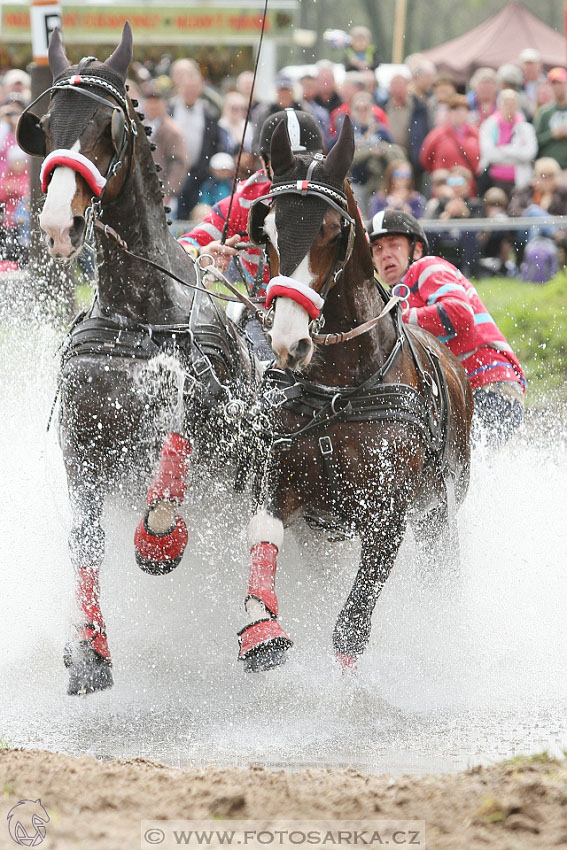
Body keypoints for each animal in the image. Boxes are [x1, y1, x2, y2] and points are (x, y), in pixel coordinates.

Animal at [17, 23, 258, 692]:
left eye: (109, 127)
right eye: (42, 126)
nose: (56, 222)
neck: (142, 316)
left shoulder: (206, 420)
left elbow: (171, 454)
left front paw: (159, 540)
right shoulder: (83, 441)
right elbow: (86, 539)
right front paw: (88, 646)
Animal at [237, 114, 472, 668]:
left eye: (330, 229)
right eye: (267, 230)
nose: (288, 340)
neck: (340, 390)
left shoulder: (388, 518)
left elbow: (351, 628)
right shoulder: (281, 479)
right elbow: (264, 532)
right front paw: (261, 629)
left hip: (438, 513)